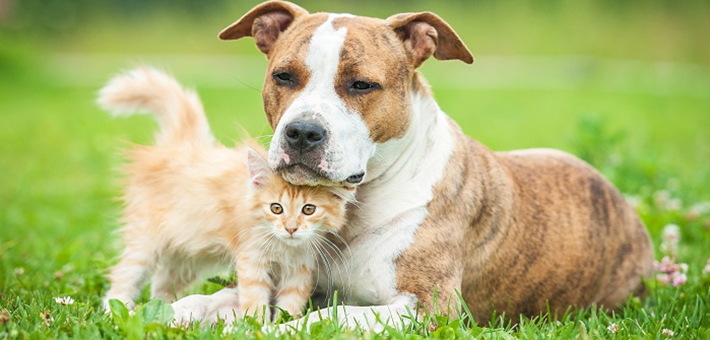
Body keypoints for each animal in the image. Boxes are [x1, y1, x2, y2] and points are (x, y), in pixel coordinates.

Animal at [97, 67, 354, 322]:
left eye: (308, 209)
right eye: (276, 208)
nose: (291, 228)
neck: (284, 247)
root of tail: (180, 145)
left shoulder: (300, 269)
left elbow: (289, 305)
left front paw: (284, 324)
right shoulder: (251, 259)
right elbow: (255, 299)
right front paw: (257, 325)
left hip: (185, 253)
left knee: (162, 283)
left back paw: (164, 309)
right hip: (146, 240)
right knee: (124, 274)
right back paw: (116, 311)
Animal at [171, 0, 656, 330]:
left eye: (362, 85)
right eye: (283, 76)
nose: (303, 132)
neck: (354, 206)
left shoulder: (428, 308)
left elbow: (330, 317)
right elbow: (206, 301)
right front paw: (171, 311)